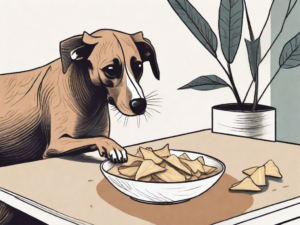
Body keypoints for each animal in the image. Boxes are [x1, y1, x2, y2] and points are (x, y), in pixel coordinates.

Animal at [0, 29, 159, 223]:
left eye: (138, 66)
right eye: (110, 69)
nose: (139, 104)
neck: (90, 97)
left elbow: (94, 138)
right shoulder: (55, 145)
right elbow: (100, 139)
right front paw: (113, 148)